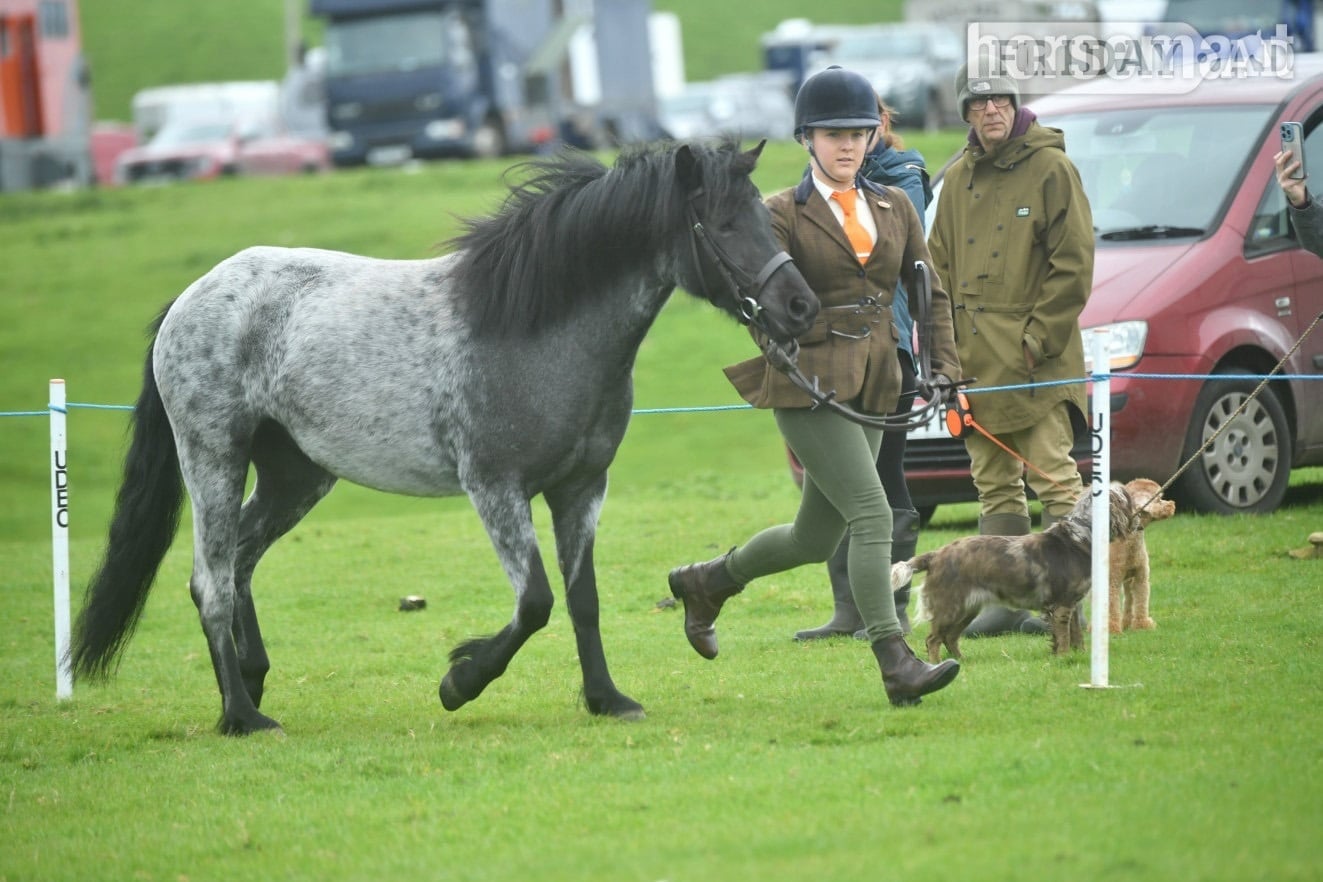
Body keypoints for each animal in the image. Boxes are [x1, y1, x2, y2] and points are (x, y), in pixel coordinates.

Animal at [68, 137, 819, 735]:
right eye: (722, 223)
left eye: (765, 216)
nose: (801, 307)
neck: (537, 328)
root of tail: (193, 296)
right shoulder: (495, 489)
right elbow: (536, 602)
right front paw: (460, 681)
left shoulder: (581, 489)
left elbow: (582, 600)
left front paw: (607, 699)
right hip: (214, 458)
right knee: (212, 580)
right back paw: (242, 716)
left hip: (296, 475)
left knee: (242, 560)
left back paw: (253, 680)